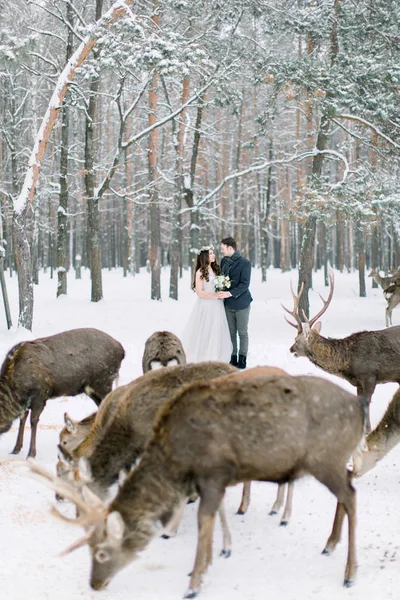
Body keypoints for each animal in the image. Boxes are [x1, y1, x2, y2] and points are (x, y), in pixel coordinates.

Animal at [0, 328, 124, 460]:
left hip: (104, 382)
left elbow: (33, 421)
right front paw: (15, 449)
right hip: (92, 389)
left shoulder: (40, 395)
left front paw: (31, 454)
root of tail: (121, 349)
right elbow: (22, 419)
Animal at [25, 376, 368, 596]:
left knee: (351, 496)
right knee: (347, 489)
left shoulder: (212, 473)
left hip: (325, 458)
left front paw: (194, 582)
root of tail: (360, 408)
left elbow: (204, 520)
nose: (94, 584)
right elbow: (209, 519)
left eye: (100, 553)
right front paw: (206, 562)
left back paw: (349, 573)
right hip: (332, 462)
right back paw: (329, 543)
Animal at [284, 274, 400, 434]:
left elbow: (366, 404)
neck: (348, 362)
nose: (291, 349)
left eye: (296, 339)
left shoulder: (370, 375)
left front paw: (367, 431)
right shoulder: (359, 382)